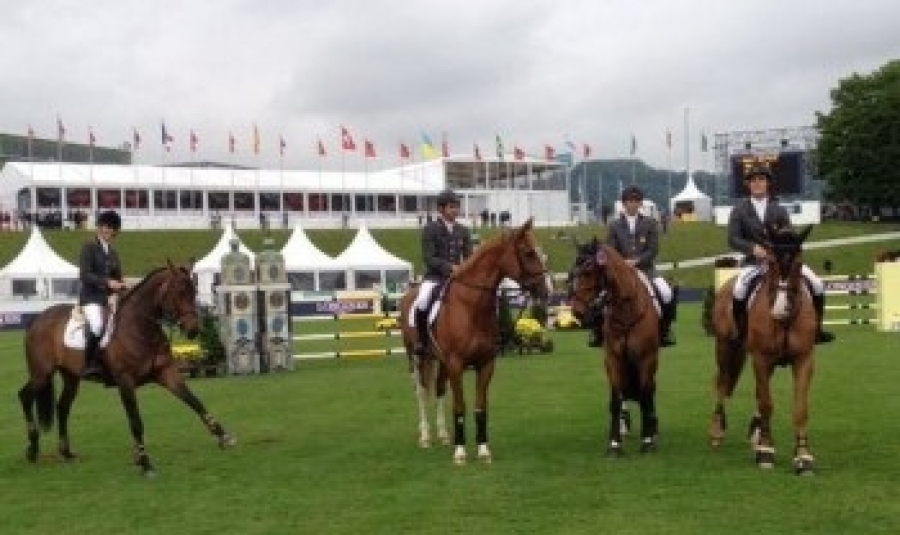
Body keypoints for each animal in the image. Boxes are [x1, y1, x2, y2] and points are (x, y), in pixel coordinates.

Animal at [18, 262, 236, 476]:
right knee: (25, 396)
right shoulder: (125, 382)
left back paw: (66, 453)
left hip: (71, 376)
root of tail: (38, 319)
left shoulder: (166, 373)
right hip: (42, 374)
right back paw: (32, 450)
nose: (193, 330)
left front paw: (224, 437)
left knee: (62, 407)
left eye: (194, 291)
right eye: (179, 291)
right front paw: (144, 462)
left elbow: (195, 402)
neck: (141, 328)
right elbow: (136, 421)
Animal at [400, 218, 548, 464]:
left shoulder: (485, 364)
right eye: (528, 253)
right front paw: (460, 452)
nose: (545, 291)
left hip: (440, 361)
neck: (471, 307)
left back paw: (443, 434)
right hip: (416, 357)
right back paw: (425, 436)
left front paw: (483, 449)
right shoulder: (456, 364)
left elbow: (480, 408)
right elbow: (460, 406)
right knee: (421, 391)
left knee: (439, 389)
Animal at [568, 239, 660, 456]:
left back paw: (652, 429)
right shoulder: (613, 359)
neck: (626, 310)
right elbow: (616, 401)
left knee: (649, 392)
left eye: (588, 271)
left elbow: (645, 396)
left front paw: (647, 441)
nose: (577, 312)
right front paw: (614, 444)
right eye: (574, 271)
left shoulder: (646, 358)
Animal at [708, 224, 820, 476]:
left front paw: (803, 457)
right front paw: (766, 452)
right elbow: (767, 404)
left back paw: (756, 434)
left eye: (799, 262)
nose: (780, 309)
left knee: (758, 392)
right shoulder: (760, 359)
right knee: (722, 384)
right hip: (726, 349)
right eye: (770, 262)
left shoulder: (804, 360)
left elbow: (800, 408)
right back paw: (718, 432)